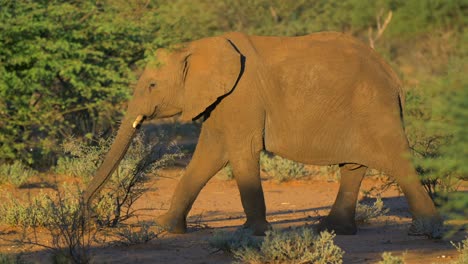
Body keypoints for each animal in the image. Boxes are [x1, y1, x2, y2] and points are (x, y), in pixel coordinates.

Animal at [83, 32, 442, 238]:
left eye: (152, 85)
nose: (85, 211)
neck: (196, 47)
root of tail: (394, 76)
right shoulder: (221, 100)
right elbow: (208, 156)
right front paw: (164, 229)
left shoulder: (242, 96)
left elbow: (241, 152)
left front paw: (252, 235)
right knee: (353, 168)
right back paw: (331, 230)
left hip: (375, 106)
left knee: (398, 161)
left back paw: (425, 233)